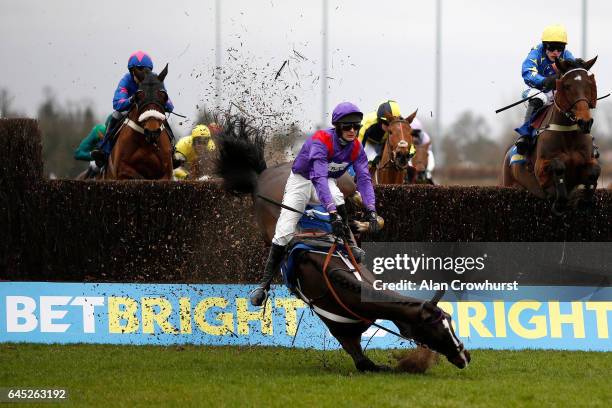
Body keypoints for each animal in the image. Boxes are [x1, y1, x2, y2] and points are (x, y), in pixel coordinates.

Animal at [214, 116, 468, 372]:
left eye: (449, 320)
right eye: (436, 327)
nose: (464, 355)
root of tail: (263, 174)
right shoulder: (343, 334)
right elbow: (365, 363)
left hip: (336, 183)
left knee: (347, 194)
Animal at [504, 57, 600, 214]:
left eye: (589, 84)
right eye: (567, 86)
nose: (585, 122)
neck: (568, 135)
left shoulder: (588, 160)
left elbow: (594, 172)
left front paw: (583, 200)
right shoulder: (540, 168)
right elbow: (557, 165)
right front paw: (559, 200)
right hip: (510, 184)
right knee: (537, 99)